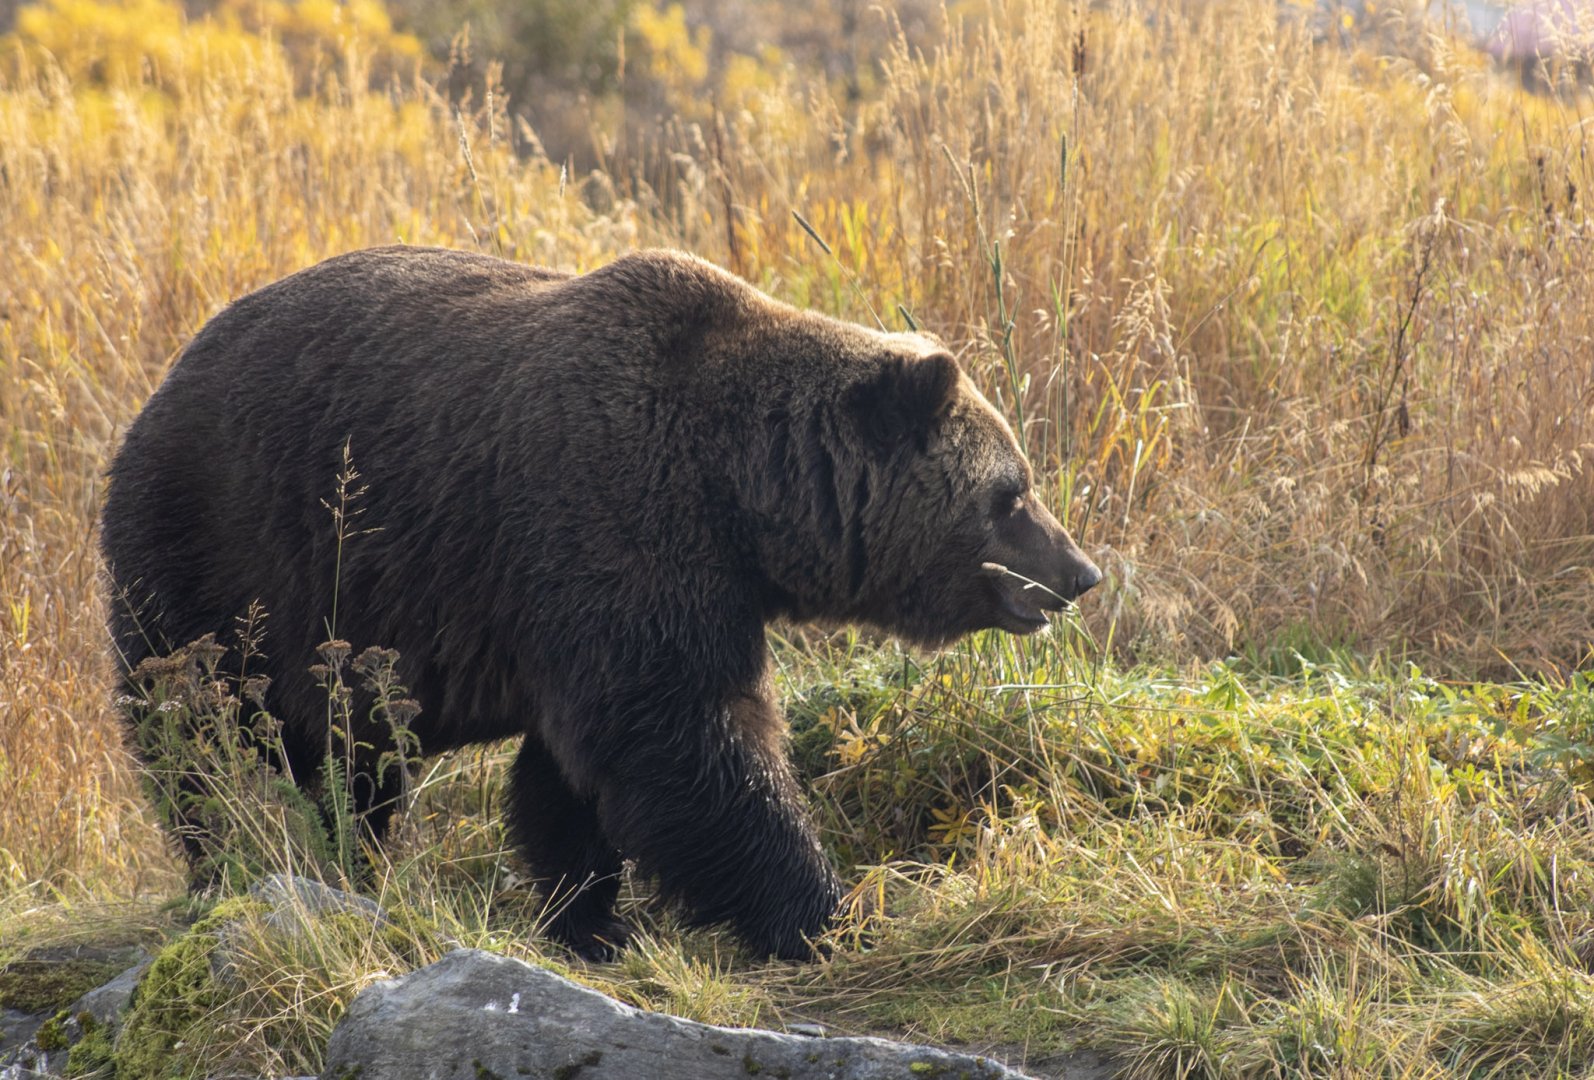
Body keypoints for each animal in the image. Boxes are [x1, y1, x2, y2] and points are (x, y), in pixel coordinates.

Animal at [100, 245, 1101, 961]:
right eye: (1011, 492)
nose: (1080, 572)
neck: (740, 492)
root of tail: (161, 384)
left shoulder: (596, 602)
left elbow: (572, 776)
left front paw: (590, 921)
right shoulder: (613, 520)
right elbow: (685, 742)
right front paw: (826, 912)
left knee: (355, 758)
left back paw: (352, 861)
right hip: (223, 556)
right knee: (201, 732)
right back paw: (230, 861)